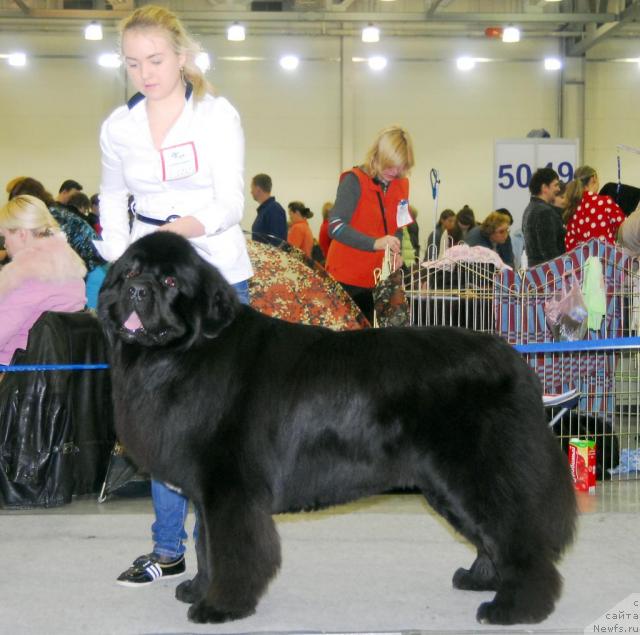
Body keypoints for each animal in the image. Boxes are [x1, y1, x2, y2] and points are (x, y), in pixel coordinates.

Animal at [97, 232, 576, 628]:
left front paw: (219, 606)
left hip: (475, 472)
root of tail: (514, 360)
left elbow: (232, 550)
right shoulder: (207, 492)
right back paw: (481, 579)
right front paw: (196, 589)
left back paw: (516, 607)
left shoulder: (230, 489)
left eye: (171, 282)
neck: (185, 355)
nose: (138, 290)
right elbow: (204, 546)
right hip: (446, 483)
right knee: (491, 534)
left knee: (516, 532)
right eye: (132, 271)